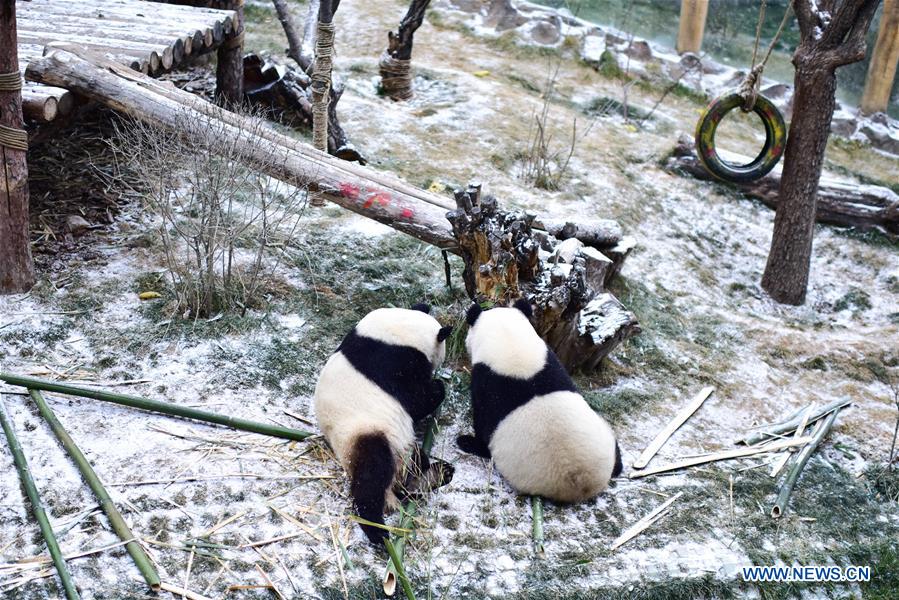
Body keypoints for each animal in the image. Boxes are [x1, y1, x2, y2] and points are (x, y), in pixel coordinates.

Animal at [314, 304, 453, 545]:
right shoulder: (395, 362)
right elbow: (415, 401)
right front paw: (437, 387)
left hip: (399, 448)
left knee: (415, 465)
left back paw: (438, 473)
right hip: (367, 434)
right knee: (372, 478)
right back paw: (376, 528)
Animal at [456, 299, 622, 502]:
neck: (510, 343)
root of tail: (584, 484)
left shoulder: (486, 383)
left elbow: (483, 422)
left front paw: (470, 441)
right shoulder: (553, 362)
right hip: (602, 437)